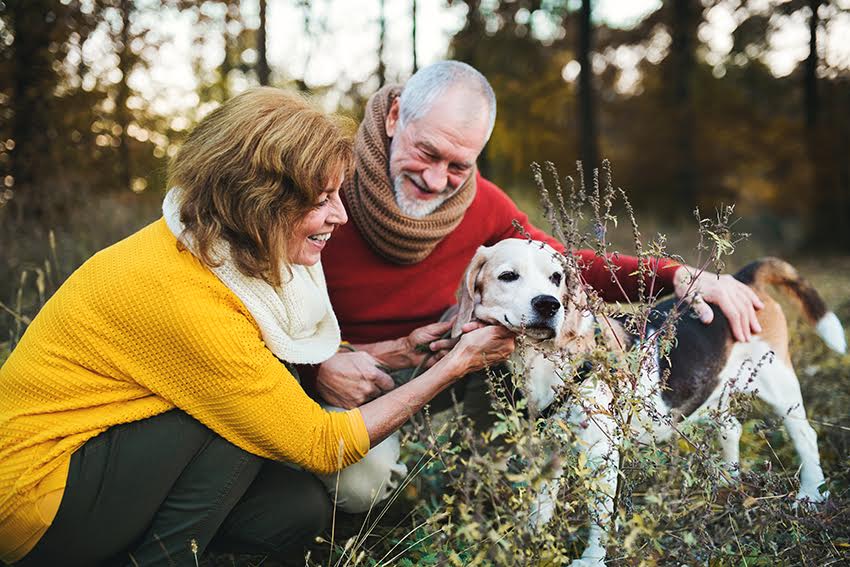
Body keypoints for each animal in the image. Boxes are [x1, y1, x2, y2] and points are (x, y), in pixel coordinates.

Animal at [450, 240, 840, 567]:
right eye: (508, 276)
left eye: (556, 277)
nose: (549, 304)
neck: (545, 358)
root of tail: (743, 280)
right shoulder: (549, 449)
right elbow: (540, 504)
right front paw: (530, 539)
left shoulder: (601, 457)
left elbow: (600, 517)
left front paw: (592, 560)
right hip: (718, 393)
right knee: (731, 428)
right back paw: (727, 484)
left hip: (779, 386)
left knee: (806, 438)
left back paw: (811, 494)